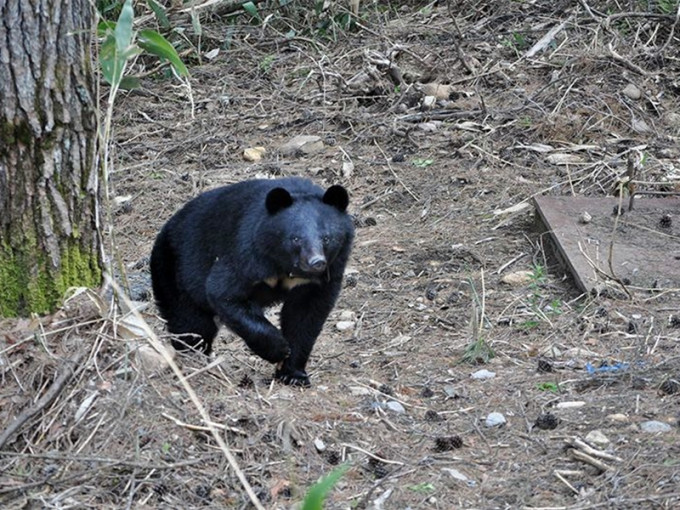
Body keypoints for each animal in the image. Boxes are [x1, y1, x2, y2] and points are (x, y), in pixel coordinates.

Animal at [150, 177, 356, 384]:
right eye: (295, 238)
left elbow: (306, 316)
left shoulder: (324, 275)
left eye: (327, 238)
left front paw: (293, 374)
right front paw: (279, 348)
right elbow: (224, 292)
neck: (286, 266)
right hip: (174, 271)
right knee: (191, 324)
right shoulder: (247, 253)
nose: (316, 262)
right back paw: (195, 359)